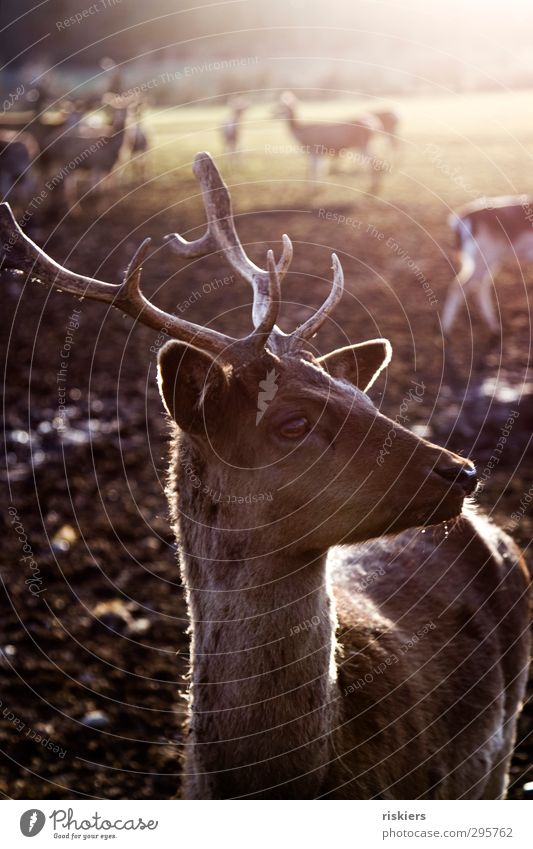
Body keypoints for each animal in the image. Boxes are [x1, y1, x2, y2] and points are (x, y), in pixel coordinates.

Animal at [440, 195, 532, 334]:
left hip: (487, 260)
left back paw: (494, 327)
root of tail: (459, 220)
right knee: (459, 286)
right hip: (483, 258)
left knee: (481, 285)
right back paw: (446, 330)